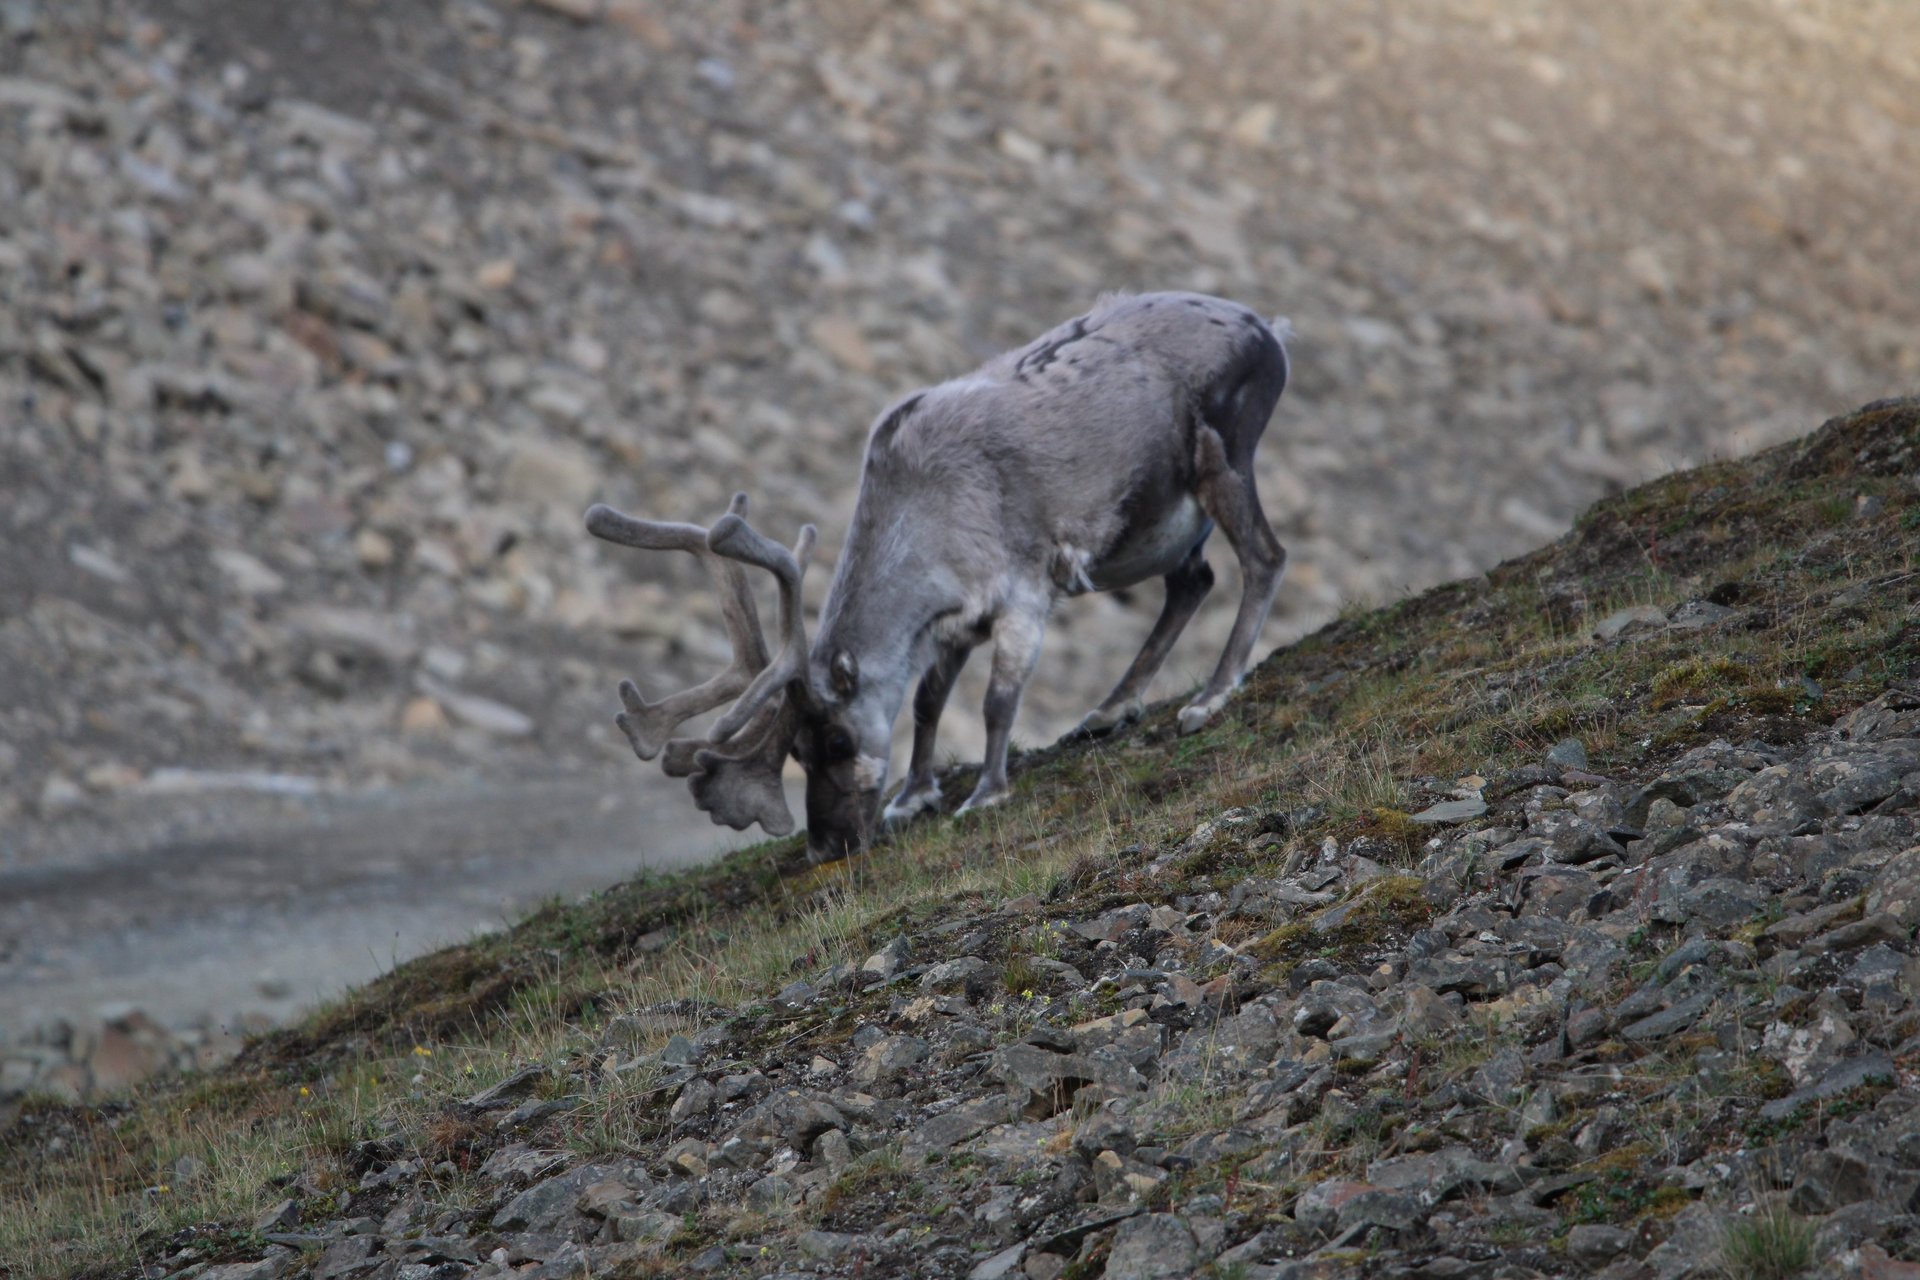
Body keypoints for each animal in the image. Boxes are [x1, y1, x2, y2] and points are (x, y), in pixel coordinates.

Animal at [585, 291, 1291, 864]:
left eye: (837, 739)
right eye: (798, 753)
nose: (826, 847)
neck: (925, 507)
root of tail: (1266, 327)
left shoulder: (1023, 594)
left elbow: (997, 701)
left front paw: (985, 792)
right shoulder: (953, 621)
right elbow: (927, 701)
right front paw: (914, 795)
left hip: (1224, 456)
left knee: (1264, 558)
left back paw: (1211, 694)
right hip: (1172, 521)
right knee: (1192, 584)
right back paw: (1110, 707)